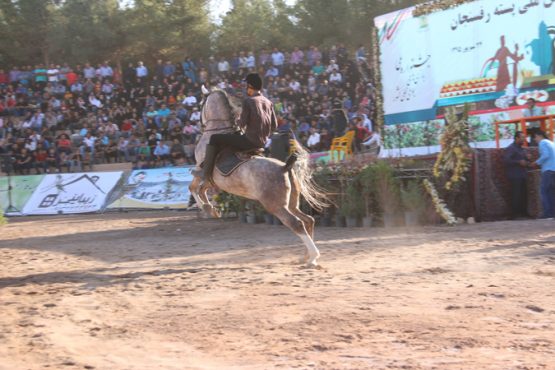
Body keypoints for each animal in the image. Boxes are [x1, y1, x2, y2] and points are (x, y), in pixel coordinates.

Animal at [189, 86, 328, 266]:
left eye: (200, 104)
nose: (199, 124)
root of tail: (285, 167)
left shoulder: (202, 172)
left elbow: (194, 187)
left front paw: (206, 207)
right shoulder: (214, 181)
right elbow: (200, 189)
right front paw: (211, 209)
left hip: (276, 206)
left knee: (296, 223)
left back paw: (312, 257)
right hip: (291, 203)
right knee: (308, 220)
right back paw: (306, 256)